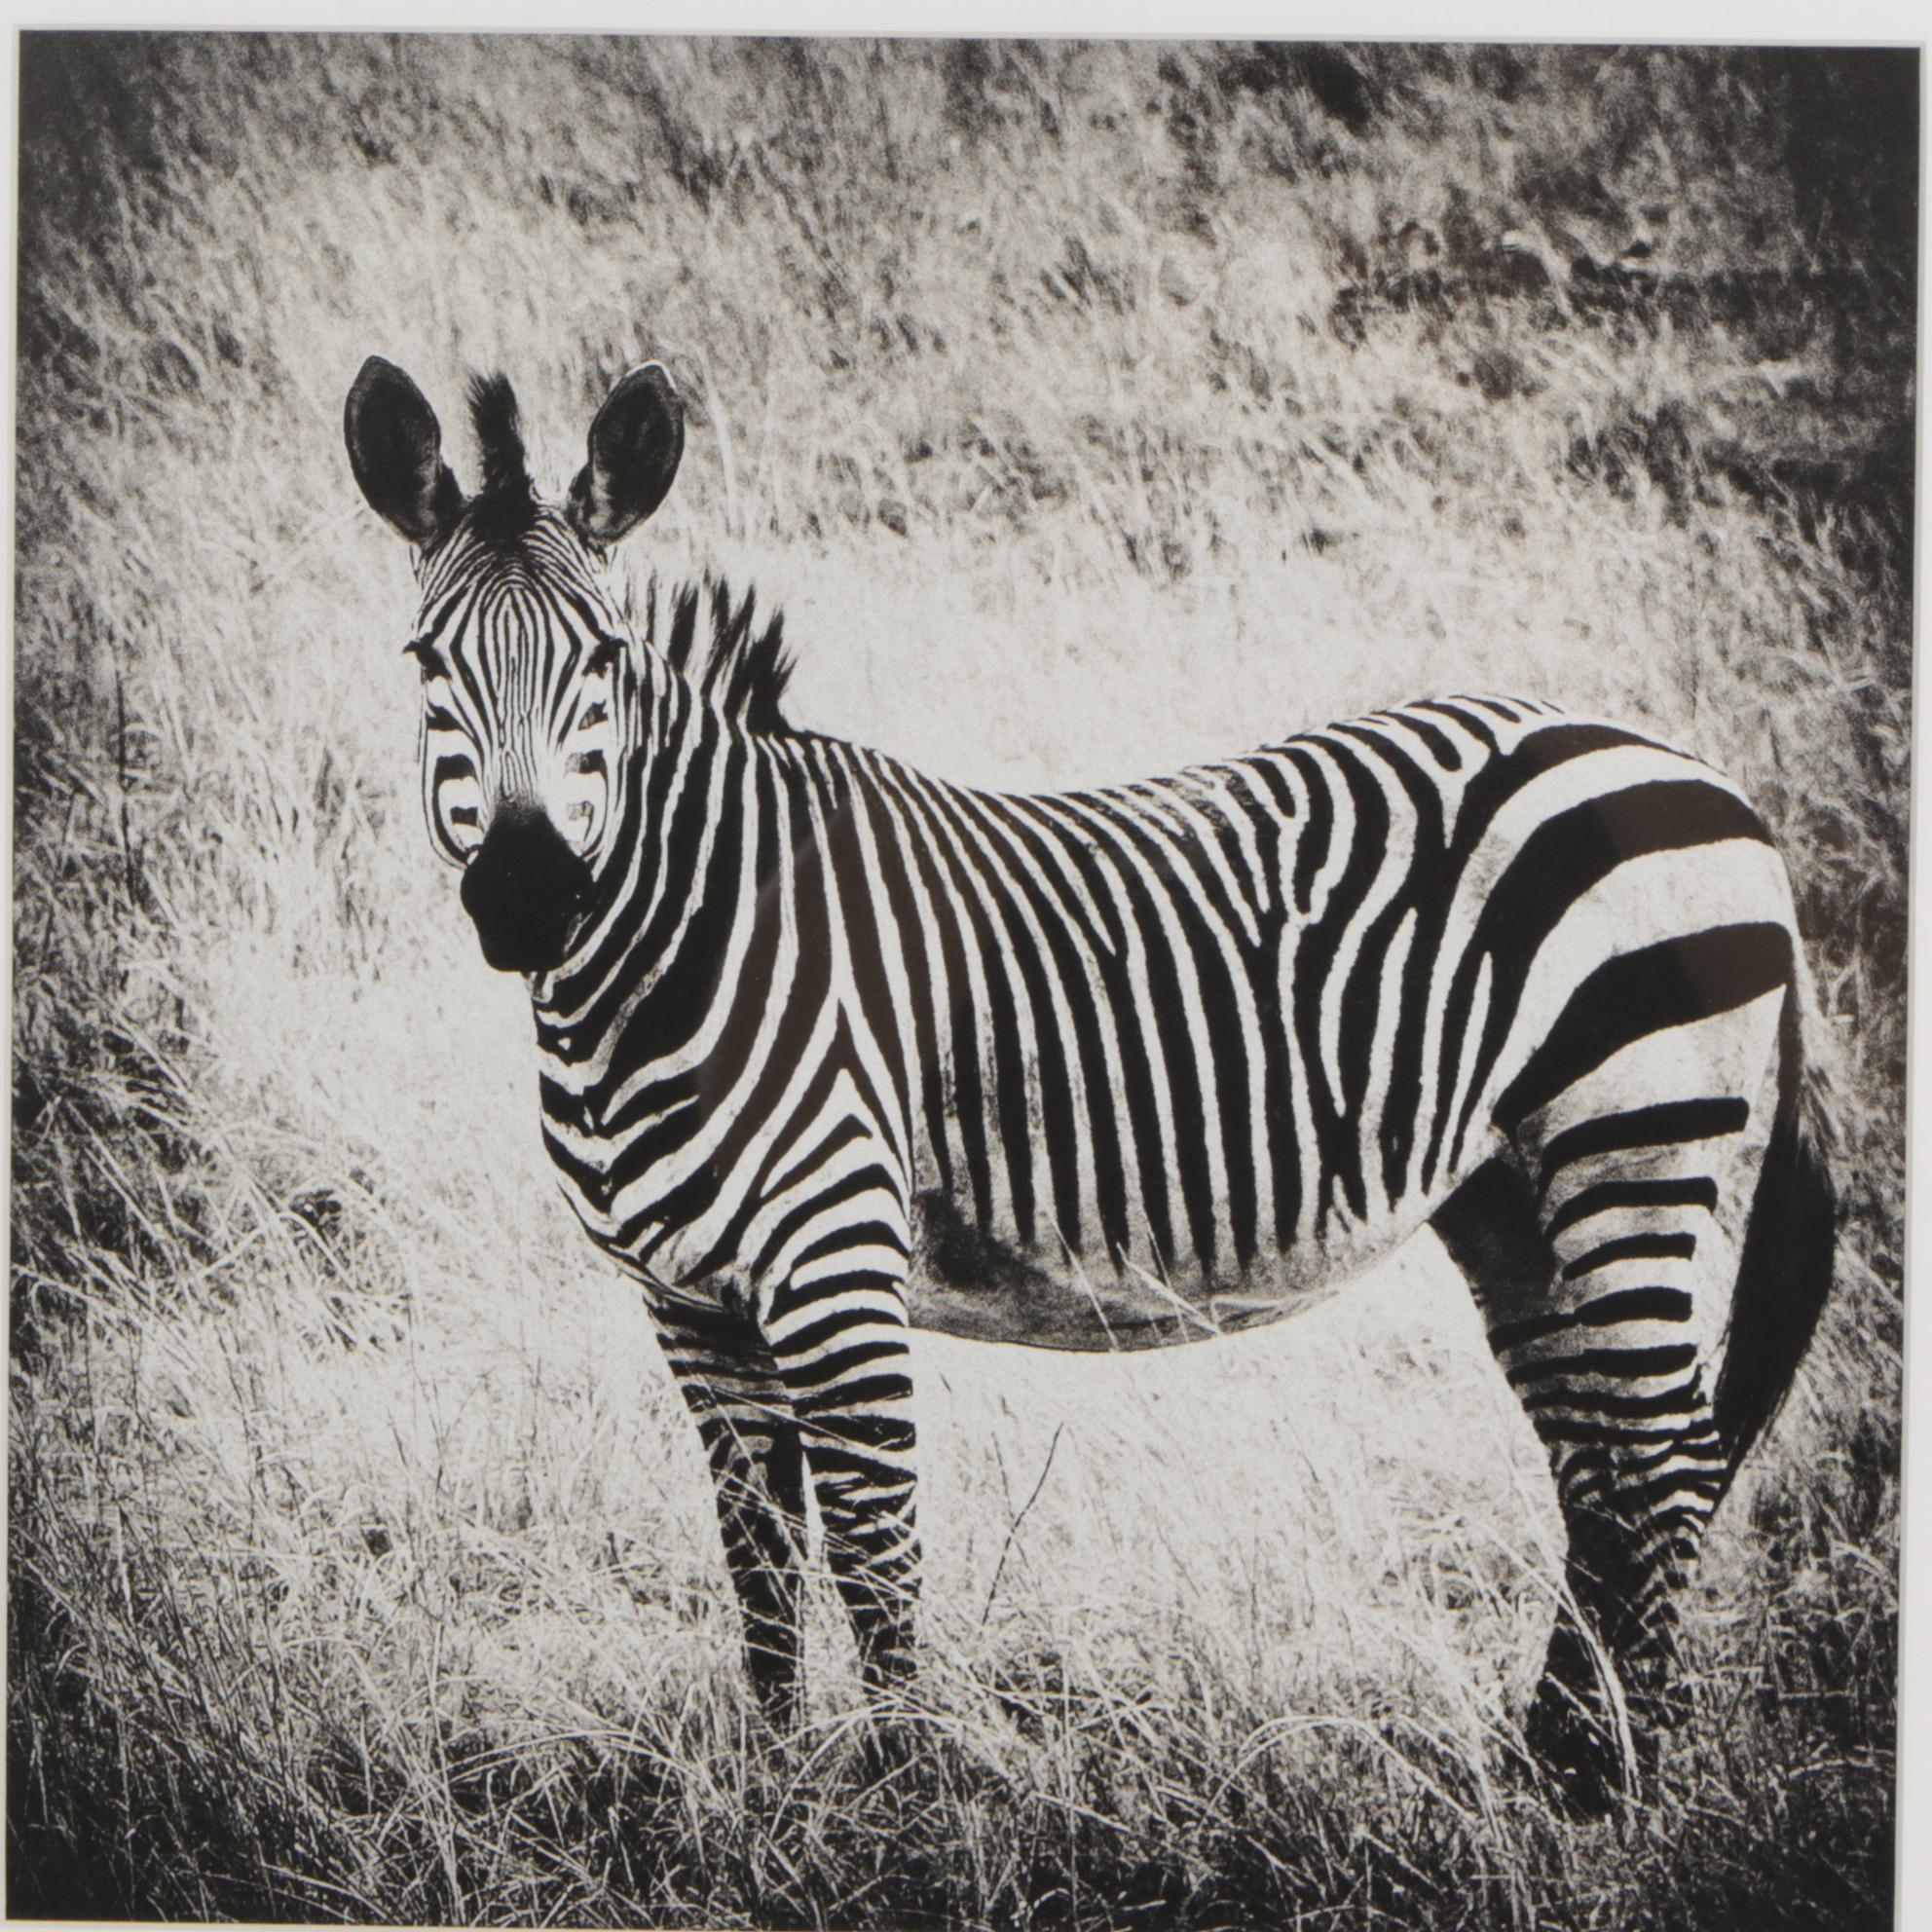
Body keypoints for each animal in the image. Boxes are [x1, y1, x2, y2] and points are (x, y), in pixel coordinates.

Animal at [344, 354, 1835, 1813]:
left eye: (603, 659)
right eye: (424, 664)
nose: (527, 898)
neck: (681, 949)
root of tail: (1694, 773)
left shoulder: (836, 1265)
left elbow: (874, 1554)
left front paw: (906, 1809)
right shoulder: (691, 1304)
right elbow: (760, 1563)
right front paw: (771, 1798)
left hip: (1633, 1137)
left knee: (1665, 1466)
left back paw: (1628, 1801)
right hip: (1512, 1192)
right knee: (1601, 1465)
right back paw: (1555, 1776)